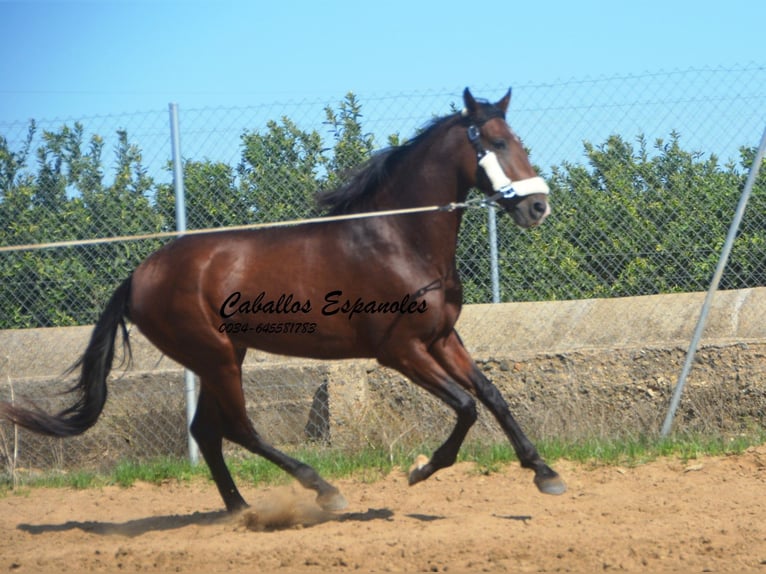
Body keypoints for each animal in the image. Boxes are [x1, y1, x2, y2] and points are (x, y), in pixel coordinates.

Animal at [0, 89, 568, 512]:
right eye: (496, 142)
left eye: (518, 139)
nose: (538, 206)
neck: (398, 238)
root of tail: (139, 275)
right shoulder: (400, 351)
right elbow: (466, 406)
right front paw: (422, 468)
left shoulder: (443, 338)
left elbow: (492, 395)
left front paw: (545, 472)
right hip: (216, 356)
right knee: (237, 429)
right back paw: (322, 490)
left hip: (222, 356)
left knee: (207, 432)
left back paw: (240, 509)